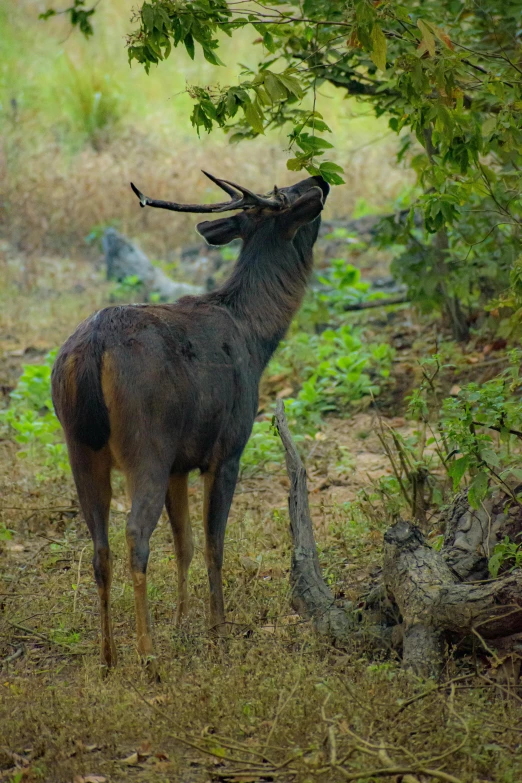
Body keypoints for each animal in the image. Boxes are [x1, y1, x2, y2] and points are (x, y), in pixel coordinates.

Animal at [52, 172, 330, 672]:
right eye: (294, 196)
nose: (320, 178)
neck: (255, 337)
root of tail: (94, 348)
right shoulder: (228, 449)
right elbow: (213, 543)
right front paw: (218, 631)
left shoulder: (180, 463)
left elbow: (183, 542)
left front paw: (183, 624)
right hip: (146, 442)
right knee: (135, 535)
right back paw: (147, 656)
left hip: (79, 446)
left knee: (100, 546)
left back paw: (108, 657)